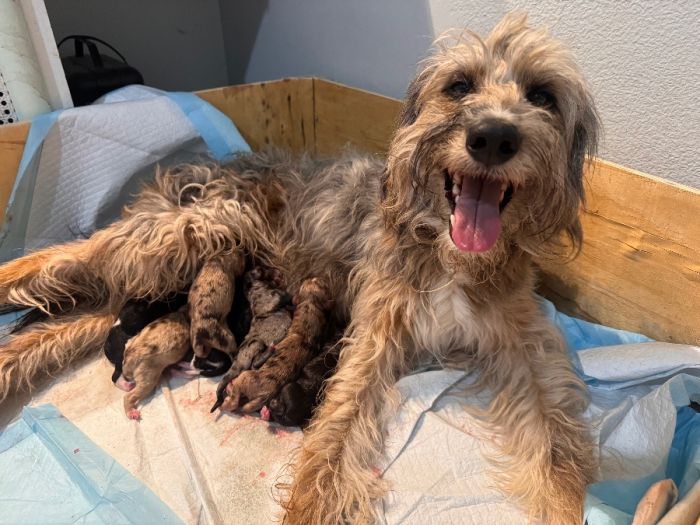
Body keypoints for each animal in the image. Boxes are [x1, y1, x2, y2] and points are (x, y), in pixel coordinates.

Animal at [211, 268, 292, 412]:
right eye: (261, 270)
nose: (279, 273)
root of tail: (237, 363)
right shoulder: (269, 298)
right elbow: (282, 296)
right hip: (256, 344)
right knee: (255, 363)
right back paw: (269, 351)